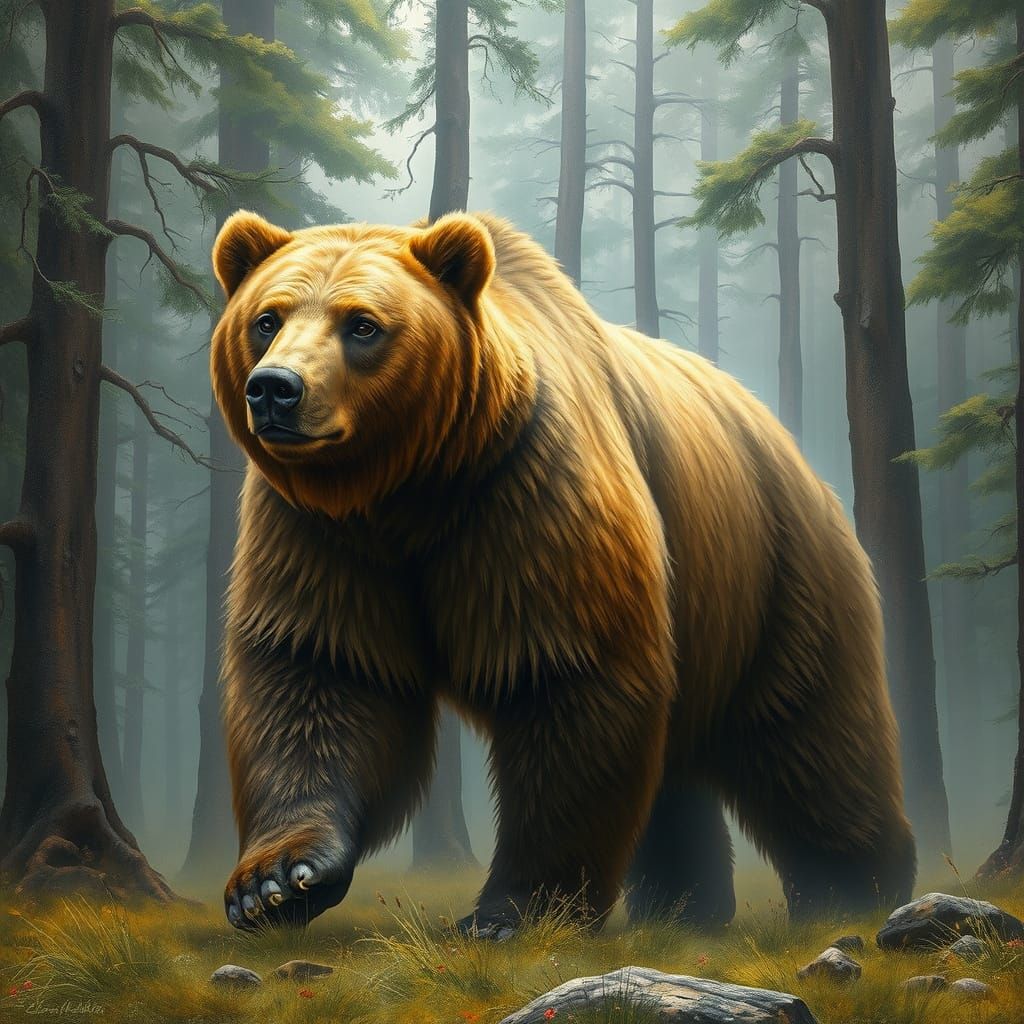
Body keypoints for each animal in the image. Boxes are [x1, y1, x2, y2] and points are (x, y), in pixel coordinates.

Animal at [209, 208, 915, 934]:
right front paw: (276, 881)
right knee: (680, 768)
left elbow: (566, 675)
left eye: (362, 325)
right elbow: (320, 670)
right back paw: (683, 906)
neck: (409, 487)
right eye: (267, 318)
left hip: (775, 577)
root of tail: (790, 444)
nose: (275, 389)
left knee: (807, 736)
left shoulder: (527, 491)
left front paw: (512, 910)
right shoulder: (322, 535)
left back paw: (851, 887)